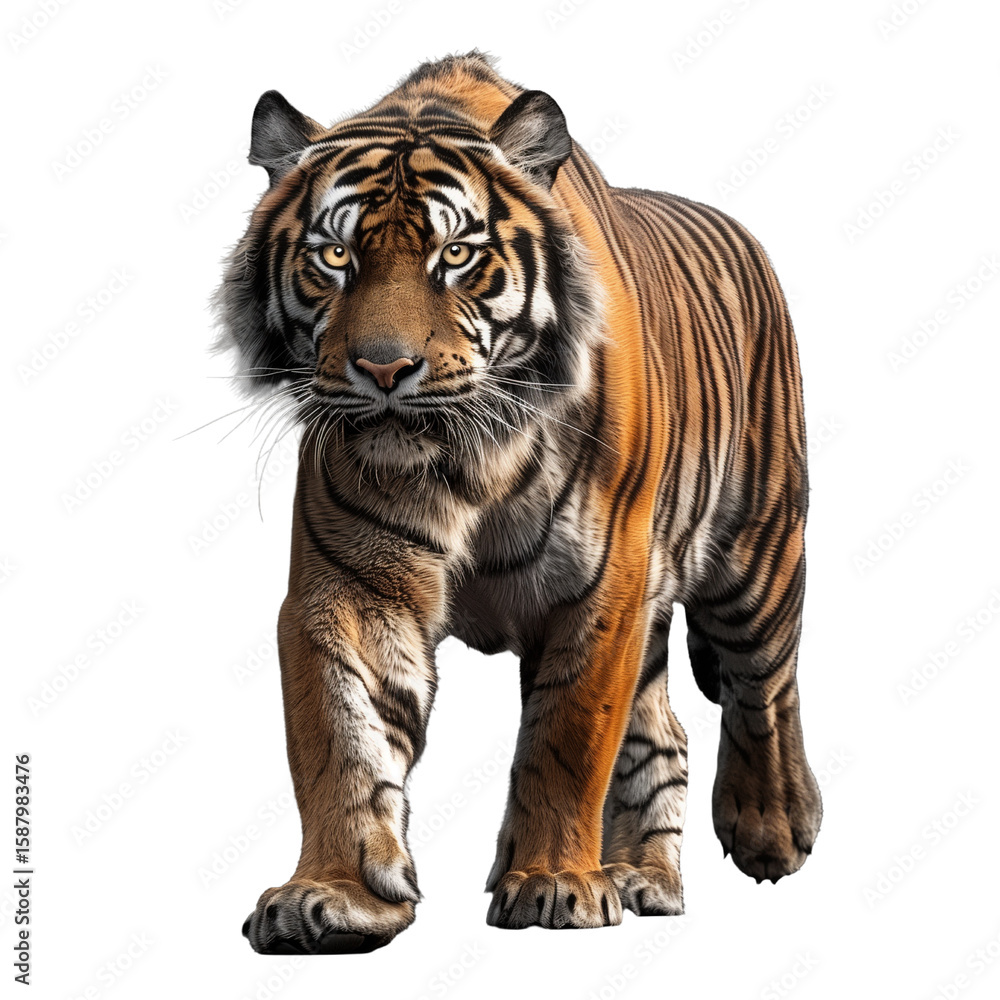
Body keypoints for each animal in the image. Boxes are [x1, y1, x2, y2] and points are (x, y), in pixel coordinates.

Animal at [214, 50, 823, 954]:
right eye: (334, 256)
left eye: (457, 253)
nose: (384, 368)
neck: (468, 461)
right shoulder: (352, 585)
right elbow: (340, 734)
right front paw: (334, 893)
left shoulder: (603, 587)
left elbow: (567, 740)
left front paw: (552, 884)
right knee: (665, 736)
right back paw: (640, 875)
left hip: (759, 554)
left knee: (765, 685)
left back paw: (772, 827)